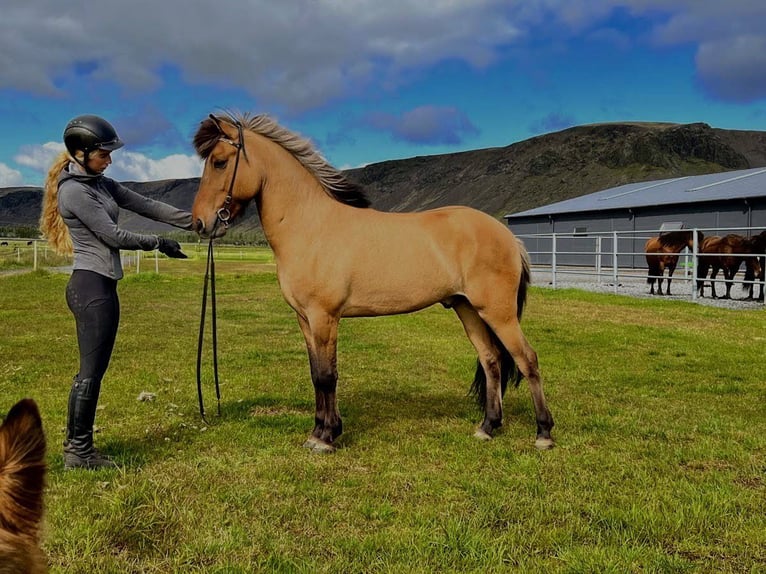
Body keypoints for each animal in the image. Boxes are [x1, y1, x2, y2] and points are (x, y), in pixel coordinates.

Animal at [190, 112, 556, 454]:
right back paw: (487, 427)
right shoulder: (305, 319)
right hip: (467, 308)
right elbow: (315, 374)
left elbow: (327, 375)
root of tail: (508, 236)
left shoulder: (325, 317)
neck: (310, 226)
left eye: (219, 162)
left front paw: (326, 437)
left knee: (527, 359)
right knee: (491, 360)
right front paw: (318, 431)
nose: (199, 223)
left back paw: (544, 433)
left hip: (498, 312)